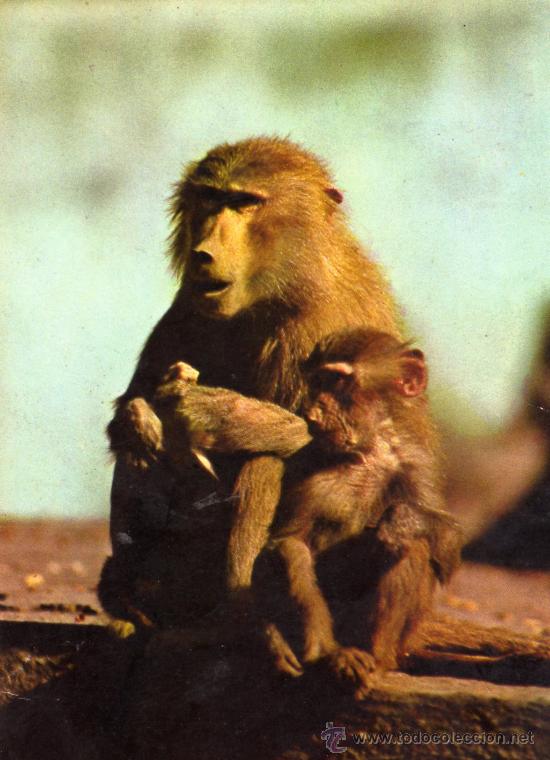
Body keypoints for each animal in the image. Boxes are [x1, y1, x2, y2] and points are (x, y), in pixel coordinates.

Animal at [99, 137, 403, 631]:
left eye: (245, 202)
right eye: (210, 198)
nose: (203, 253)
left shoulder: (322, 324)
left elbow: (326, 441)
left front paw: (207, 410)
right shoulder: (188, 303)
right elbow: (132, 410)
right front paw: (143, 419)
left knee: (265, 460)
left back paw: (234, 616)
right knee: (138, 457)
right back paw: (136, 605)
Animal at [256, 328, 461, 697]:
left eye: (337, 381)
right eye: (317, 382)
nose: (313, 411)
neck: (368, 452)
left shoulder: (416, 464)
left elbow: (447, 544)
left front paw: (404, 521)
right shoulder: (306, 462)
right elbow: (284, 542)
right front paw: (276, 641)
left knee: (413, 549)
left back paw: (372, 658)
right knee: (293, 553)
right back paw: (332, 655)